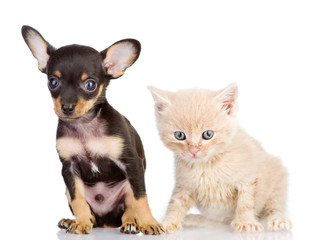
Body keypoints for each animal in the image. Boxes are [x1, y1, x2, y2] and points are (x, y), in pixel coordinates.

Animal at [21, 25, 163, 234]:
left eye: (90, 85)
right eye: (53, 82)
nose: (67, 107)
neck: (84, 125)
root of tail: (107, 223)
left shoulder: (132, 164)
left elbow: (140, 198)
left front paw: (148, 223)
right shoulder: (69, 169)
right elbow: (78, 199)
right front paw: (80, 223)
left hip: (127, 186)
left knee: (129, 208)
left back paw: (131, 223)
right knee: (91, 215)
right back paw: (73, 221)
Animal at [148, 83, 292, 232]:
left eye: (208, 134)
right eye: (179, 135)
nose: (193, 150)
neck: (208, 165)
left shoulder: (249, 178)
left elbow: (246, 201)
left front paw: (246, 221)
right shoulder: (184, 184)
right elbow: (176, 202)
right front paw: (169, 222)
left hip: (278, 175)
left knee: (275, 205)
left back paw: (277, 220)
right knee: (218, 222)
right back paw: (194, 219)